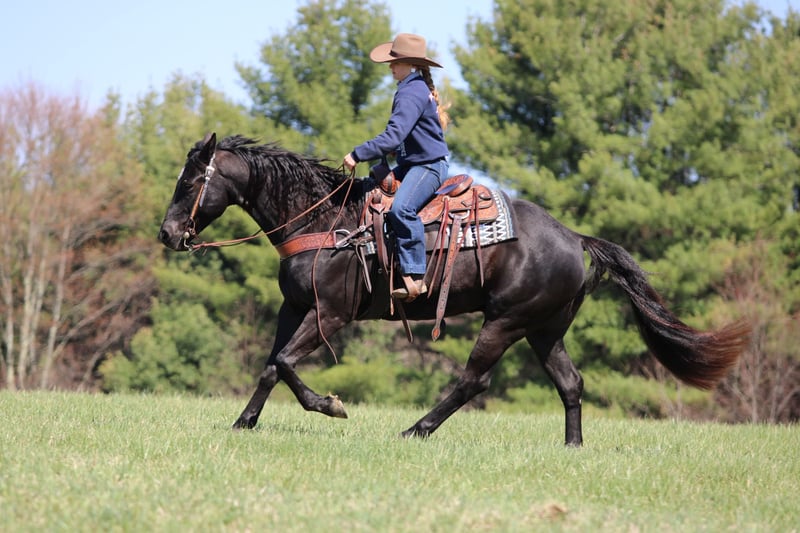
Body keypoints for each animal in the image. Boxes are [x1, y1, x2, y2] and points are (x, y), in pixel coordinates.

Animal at [158, 133, 750, 446]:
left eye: (189, 182)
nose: (167, 234)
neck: (325, 219)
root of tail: (574, 238)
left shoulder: (331, 313)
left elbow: (284, 363)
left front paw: (331, 406)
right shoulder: (294, 306)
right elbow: (271, 364)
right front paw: (244, 422)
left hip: (506, 322)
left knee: (474, 381)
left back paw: (415, 430)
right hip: (544, 330)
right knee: (570, 383)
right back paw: (572, 446)